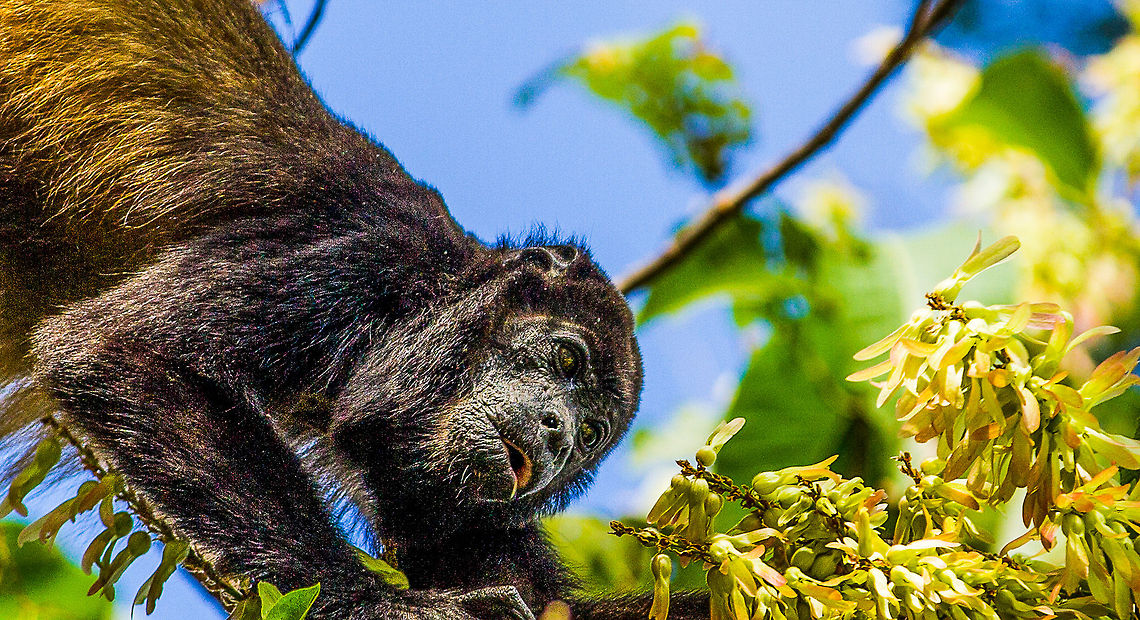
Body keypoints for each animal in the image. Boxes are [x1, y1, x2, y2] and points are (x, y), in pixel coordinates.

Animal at [0, 1, 713, 618]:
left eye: (592, 433)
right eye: (566, 359)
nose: (557, 435)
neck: (426, 297)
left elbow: (544, 604)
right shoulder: (365, 255)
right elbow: (124, 348)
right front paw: (383, 604)